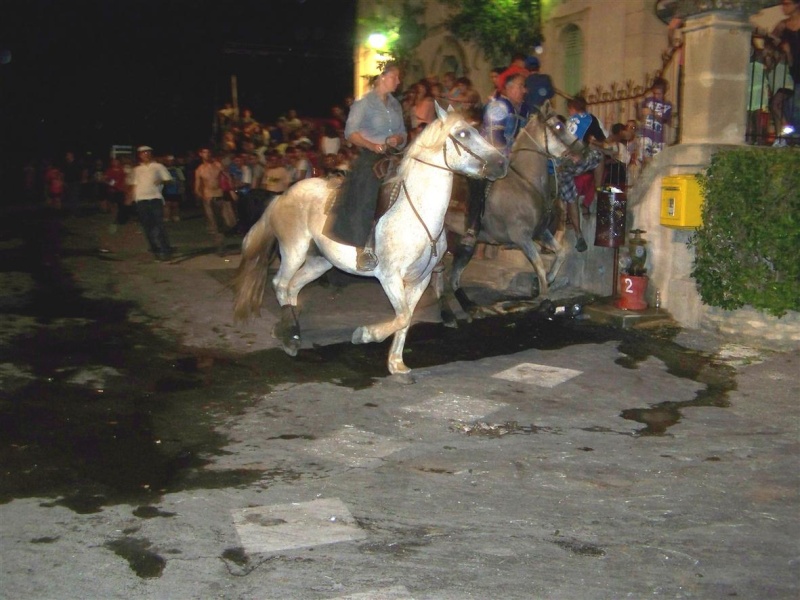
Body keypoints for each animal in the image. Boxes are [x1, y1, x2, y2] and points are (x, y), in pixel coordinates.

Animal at [233, 104, 506, 376]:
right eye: (463, 134)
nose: (501, 163)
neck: (416, 213)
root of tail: (282, 195)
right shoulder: (389, 276)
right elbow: (402, 315)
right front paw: (365, 335)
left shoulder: (420, 279)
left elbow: (406, 318)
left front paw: (396, 363)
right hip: (294, 250)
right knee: (280, 284)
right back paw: (290, 336)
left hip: (319, 261)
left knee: (293, 288)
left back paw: (290, 328)